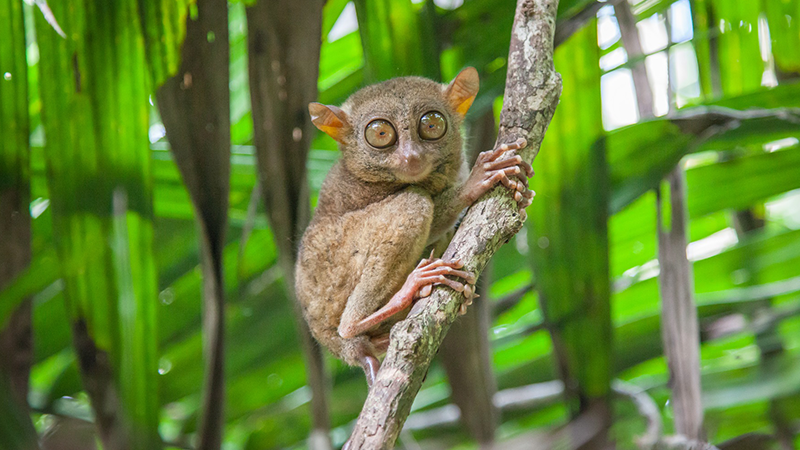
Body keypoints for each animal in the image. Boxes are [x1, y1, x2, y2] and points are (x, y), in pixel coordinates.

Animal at [295, 67, 534, 385]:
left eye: (432, 124)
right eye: (380, 134)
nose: (411, 157)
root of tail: (341, 349)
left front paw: (524, 195)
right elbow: (434, 209)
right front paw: (477, 179)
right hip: (335, 275)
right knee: (415, 202)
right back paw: (409, 289)